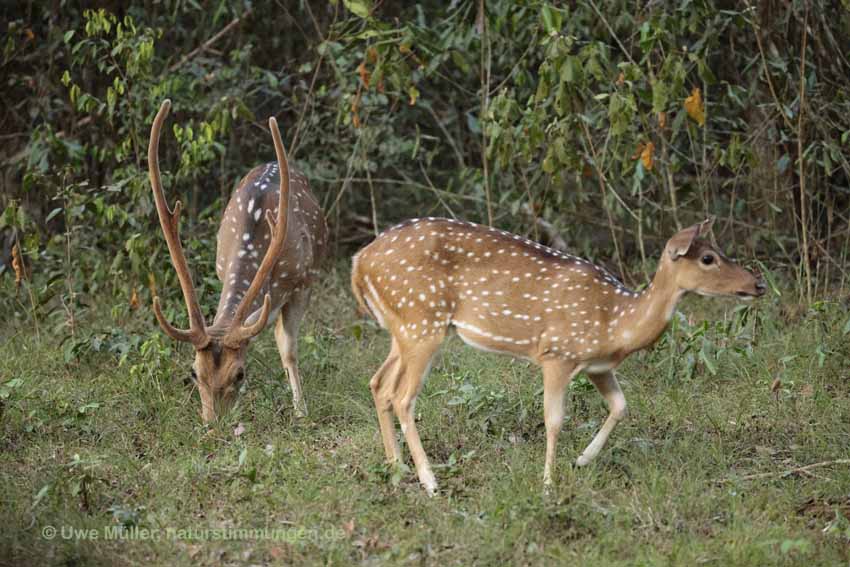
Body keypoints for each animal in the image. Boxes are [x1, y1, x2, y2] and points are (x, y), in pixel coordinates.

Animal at [149, 100, 328, 424]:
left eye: (240, 374)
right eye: (194, 373)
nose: (214, 425)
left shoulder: (303, 283)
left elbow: (289, 350)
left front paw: (301, 412)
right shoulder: (222, 270)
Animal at [350, 216, 760, 492]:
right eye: (708, 258)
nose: (757, 283)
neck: (616, 323)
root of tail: (359, 262)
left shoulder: (597, 366)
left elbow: (621, 406)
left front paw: (582, 459)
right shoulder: (557, 353)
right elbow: (554, 420)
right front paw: (548, 482)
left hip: (403, 328)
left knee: (378, 384)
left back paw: (396, 468)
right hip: (422, 321)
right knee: (403, 397)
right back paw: (429, 480)